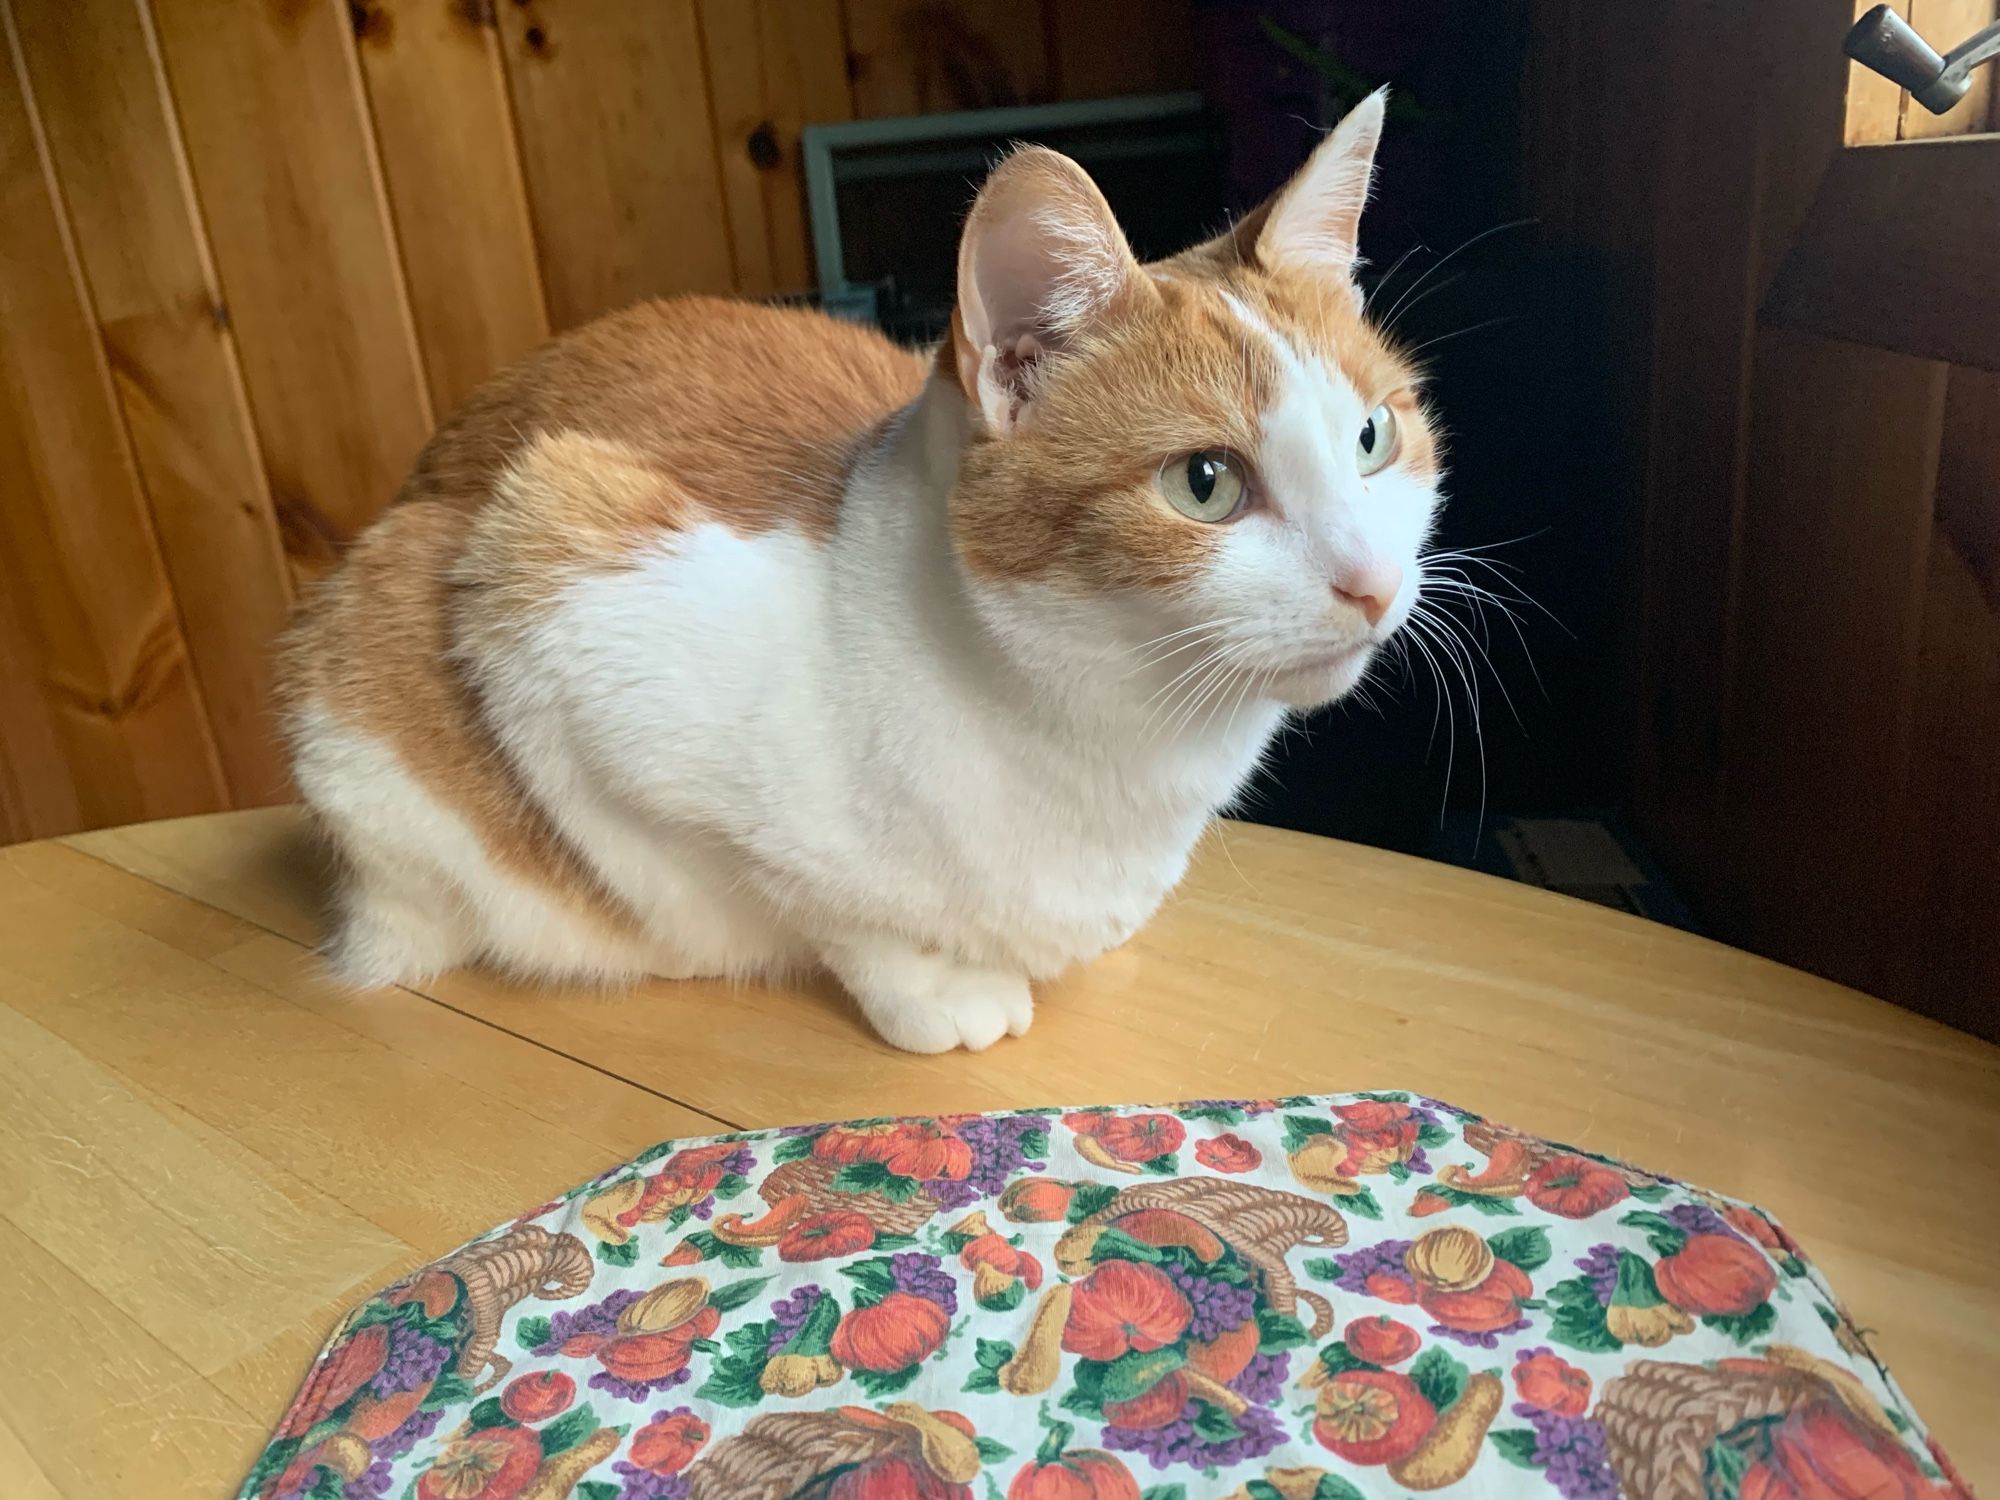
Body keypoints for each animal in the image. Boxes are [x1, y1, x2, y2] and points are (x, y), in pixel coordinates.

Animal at [282, 94, 1440, 1056]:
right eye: (1204, 483)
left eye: (1373, 438)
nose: (1374, 584)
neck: (1113, 742)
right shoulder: (562, 582)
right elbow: (812, 903)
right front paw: (934, 986)